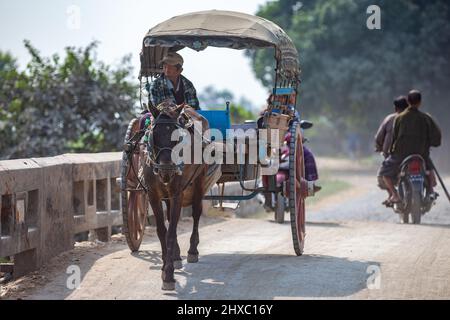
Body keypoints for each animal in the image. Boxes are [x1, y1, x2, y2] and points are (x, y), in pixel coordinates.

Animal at [144, 101, 214, 292]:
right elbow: (162, 230)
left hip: (199, 181)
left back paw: (192, 251)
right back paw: (175, 256)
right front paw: (165, 265)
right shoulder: (153, 194)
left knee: (196, 213)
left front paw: (168, 275)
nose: (166, 170)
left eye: (177, 138)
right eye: (154, 135)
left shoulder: (177, 194)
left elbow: (172, 232)